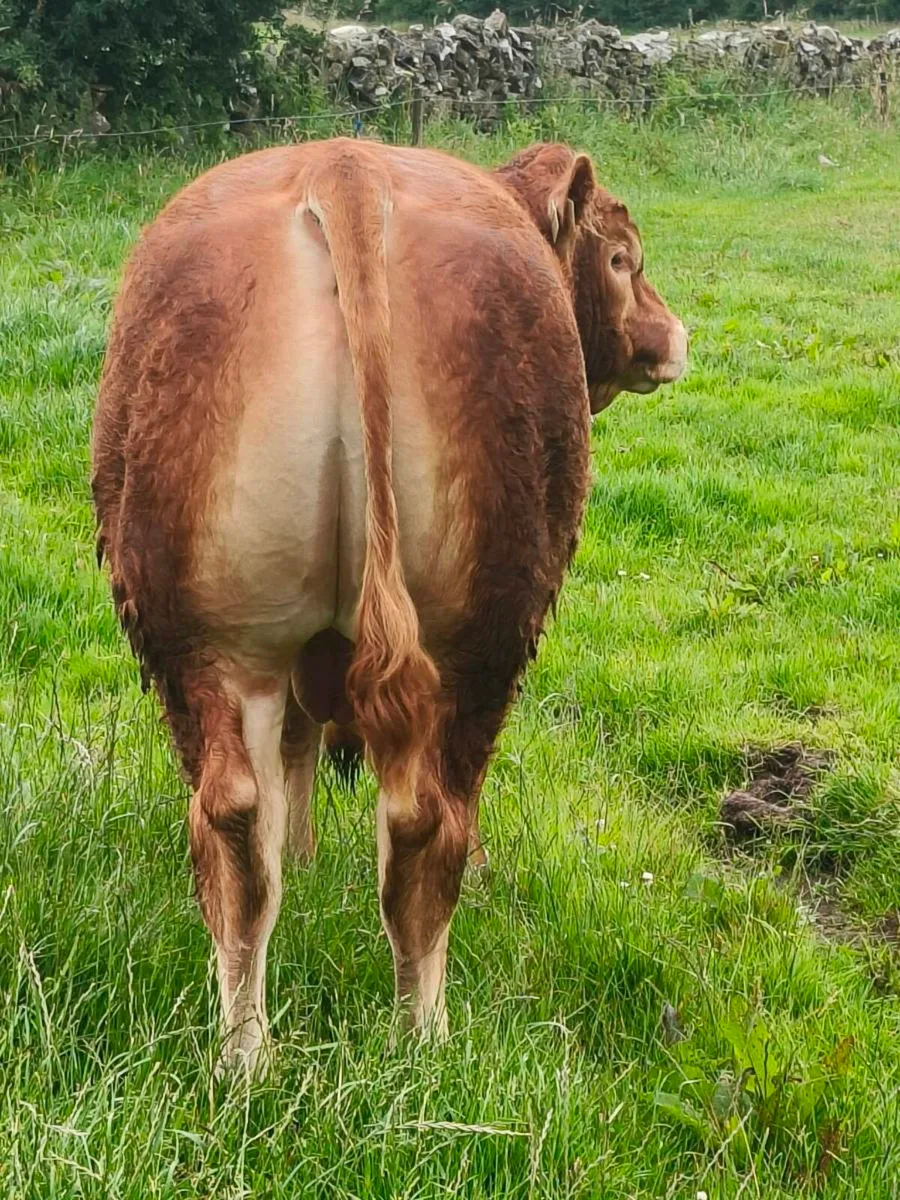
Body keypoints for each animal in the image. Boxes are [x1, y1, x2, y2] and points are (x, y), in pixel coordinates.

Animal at [92, 137, 686, 1074]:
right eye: (624, 258)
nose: (675, 336)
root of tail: (344, 167)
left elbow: (295, 754)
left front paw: (303, 856)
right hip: (482, 639)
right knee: (430, 827)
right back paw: (425, 1040)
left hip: (209, 641)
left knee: (236, 828)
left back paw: (245, 1057)